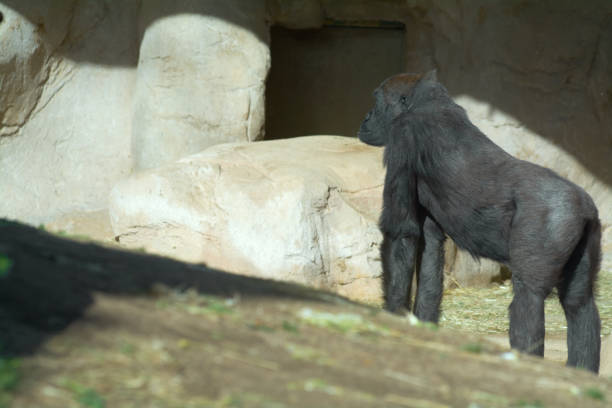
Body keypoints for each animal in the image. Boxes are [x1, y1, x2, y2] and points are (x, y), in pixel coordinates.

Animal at [358, 71, 604, 372]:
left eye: (377, 101)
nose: (366, 117)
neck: (427, 102)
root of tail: (583, 206)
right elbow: (430, 250)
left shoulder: (403, 137)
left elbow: (401, 234)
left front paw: (392, 321)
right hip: (587, 231)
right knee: (580, 302)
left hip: (551, 218)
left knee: (529, 298)